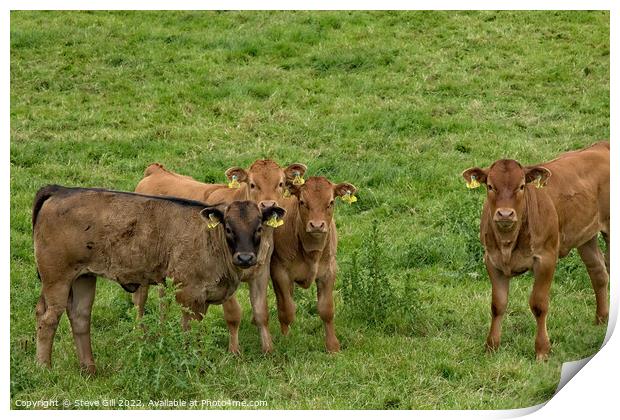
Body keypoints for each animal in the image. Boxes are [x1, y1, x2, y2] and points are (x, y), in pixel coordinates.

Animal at [33, 185, 284, 372]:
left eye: (259, 227)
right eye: (229, 228)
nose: (245, 257)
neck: (209, 239)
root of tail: (60, 190)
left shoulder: (202, 299)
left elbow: (198, 330)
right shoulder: (188, 294)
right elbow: (189, 330)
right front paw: (193, 363)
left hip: (83, 277)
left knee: (80, 317)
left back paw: (89, 369)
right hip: (57, 279)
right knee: (48, 319)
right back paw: (44, 368)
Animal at [272, 176, 358, 352]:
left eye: (331, 202)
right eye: (302, 202)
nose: (317, 225)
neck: (312, 252)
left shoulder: (329, 271)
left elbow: (326, 309)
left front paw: (333, 346)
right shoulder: (280, 272)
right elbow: (287, 309)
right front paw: (286, 340)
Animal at [462, 143, 608, 360]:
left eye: (522, 186)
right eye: (490, 186)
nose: (505, 214)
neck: (508, 243)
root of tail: (601, 145)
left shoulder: (546, 258)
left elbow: (539, 305)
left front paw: (542, 350)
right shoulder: (491, 260)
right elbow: (498, 304)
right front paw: (491, 347)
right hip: (586, 236)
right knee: (598, 272)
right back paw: (601, 319)